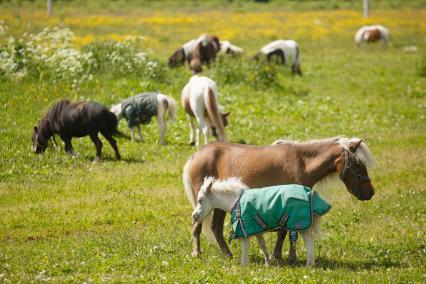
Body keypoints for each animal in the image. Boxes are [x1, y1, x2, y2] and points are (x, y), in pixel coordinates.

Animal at [192, 178, 330, 266]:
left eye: (200, 200)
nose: (194, 216)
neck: (235, 201)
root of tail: (311, 193)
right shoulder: (256, 228)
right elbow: (262, 245)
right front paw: (268, 264)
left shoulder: (244, 228)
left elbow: (245, 247)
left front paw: (243, 266)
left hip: (299, 223)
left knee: (309, 241)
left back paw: (309, 265)